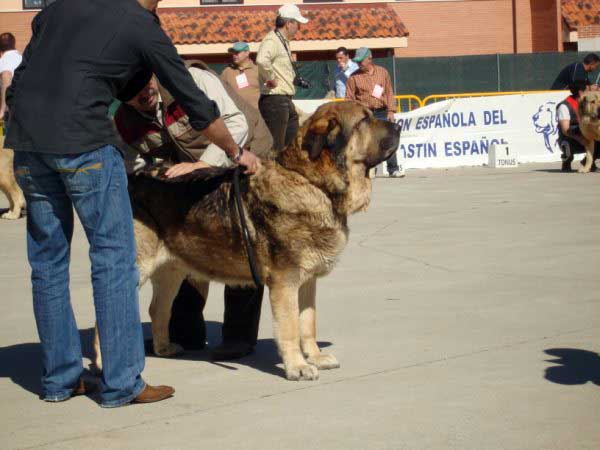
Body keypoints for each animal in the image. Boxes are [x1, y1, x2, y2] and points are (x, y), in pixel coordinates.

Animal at [95, 101, 398, 380]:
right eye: (364, 120)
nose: (397, 125)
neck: (312, 182)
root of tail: (132, 179)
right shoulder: (285, 281)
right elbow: (290, 327)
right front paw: (298, 366)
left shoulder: (307, 280)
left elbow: (308, 322)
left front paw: (316, 357)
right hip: (139, 268)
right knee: (109, 316)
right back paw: (102, 366)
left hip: (171, 271)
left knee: (158, 309)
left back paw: (164, 347)